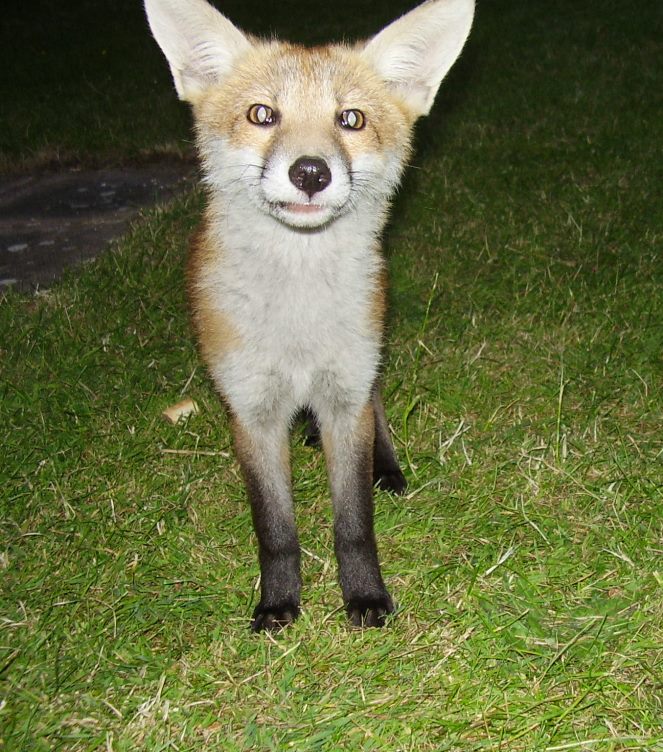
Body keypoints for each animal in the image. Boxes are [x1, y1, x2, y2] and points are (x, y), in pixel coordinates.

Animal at [147, 0, 478, 632]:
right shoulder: (251, 412)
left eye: (350, 119)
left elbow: (354, 524)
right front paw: (278, 604)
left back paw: (387, 467)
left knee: (378, 404)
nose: (310, 172)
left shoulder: (345, 399)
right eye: (262, 114)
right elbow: (275, 530)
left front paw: (366, 597)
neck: (297, 324)